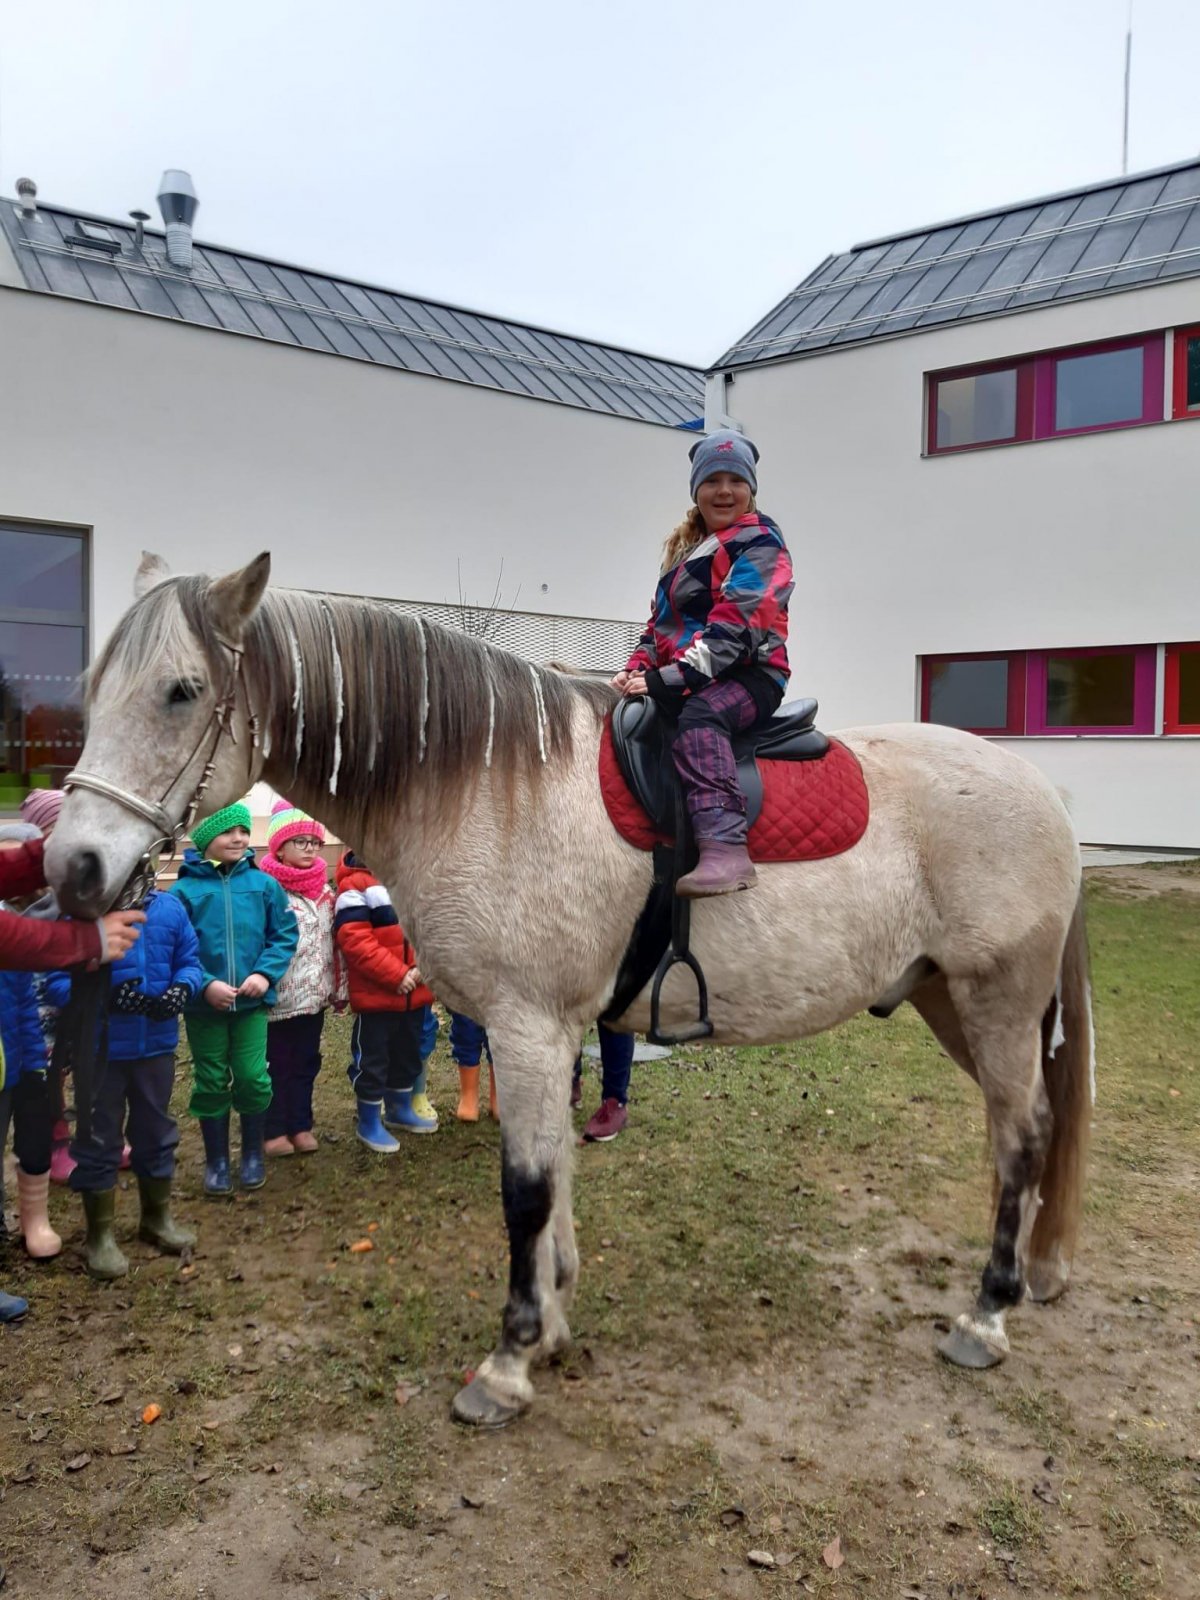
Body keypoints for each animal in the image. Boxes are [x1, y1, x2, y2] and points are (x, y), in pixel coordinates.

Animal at [46, 553, 1093, 1429]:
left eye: (182, 691)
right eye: (94, 689)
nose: (74, 868)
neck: (481, 785)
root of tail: (1042, 790)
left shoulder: (526, 1028)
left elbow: (526, 1189)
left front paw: (508, 1361)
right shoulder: (547, 1035)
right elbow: (553, 1180)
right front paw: (549, 1326)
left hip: (997, 1003)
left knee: (1022, 1138)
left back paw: (987, 1313)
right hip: (949, 1001)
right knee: (1029, 1132)